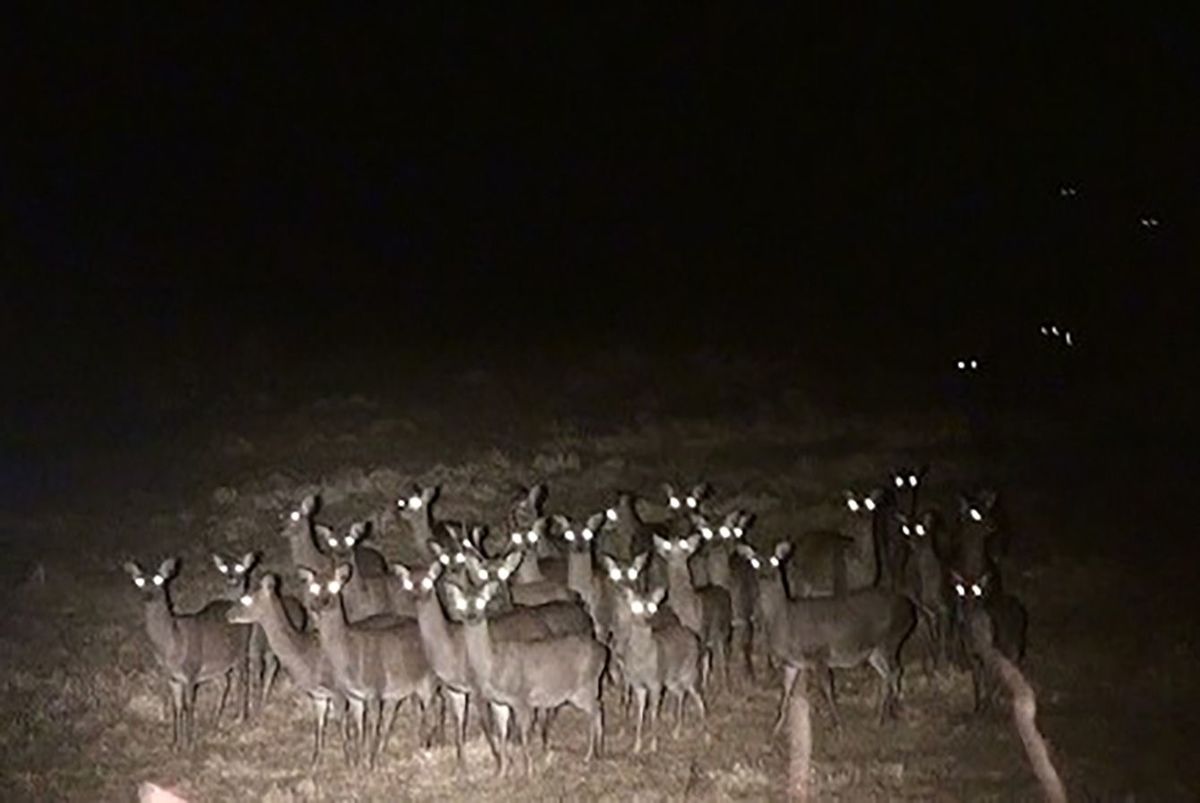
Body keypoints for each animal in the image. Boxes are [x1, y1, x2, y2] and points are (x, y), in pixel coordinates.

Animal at [123, 556, 252, 753]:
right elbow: (177, 707)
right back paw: (215, 719)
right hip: (217, 662)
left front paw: (190, 742)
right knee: (225, 682)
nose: (148, 595)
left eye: (160, 579)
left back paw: (240, 717)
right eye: (139, 581)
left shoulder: (191, 670)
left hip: (241, 650)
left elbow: (189, 705)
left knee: (243, 680)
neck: (172, 646)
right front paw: (175, 742)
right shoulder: (173, 677)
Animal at [444, 578, 609, 772]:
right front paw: (502, 770)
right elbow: (501, 733)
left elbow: (523, 735)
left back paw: (588, 755)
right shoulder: (499, 702)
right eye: (462, 602)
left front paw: (528, 770)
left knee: (595, 710)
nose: (471, 616)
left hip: (583, 688)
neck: (493, 663)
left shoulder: (521, 698)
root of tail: (603, 652)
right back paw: (598, 752)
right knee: (598, 707)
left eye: (482, 601)